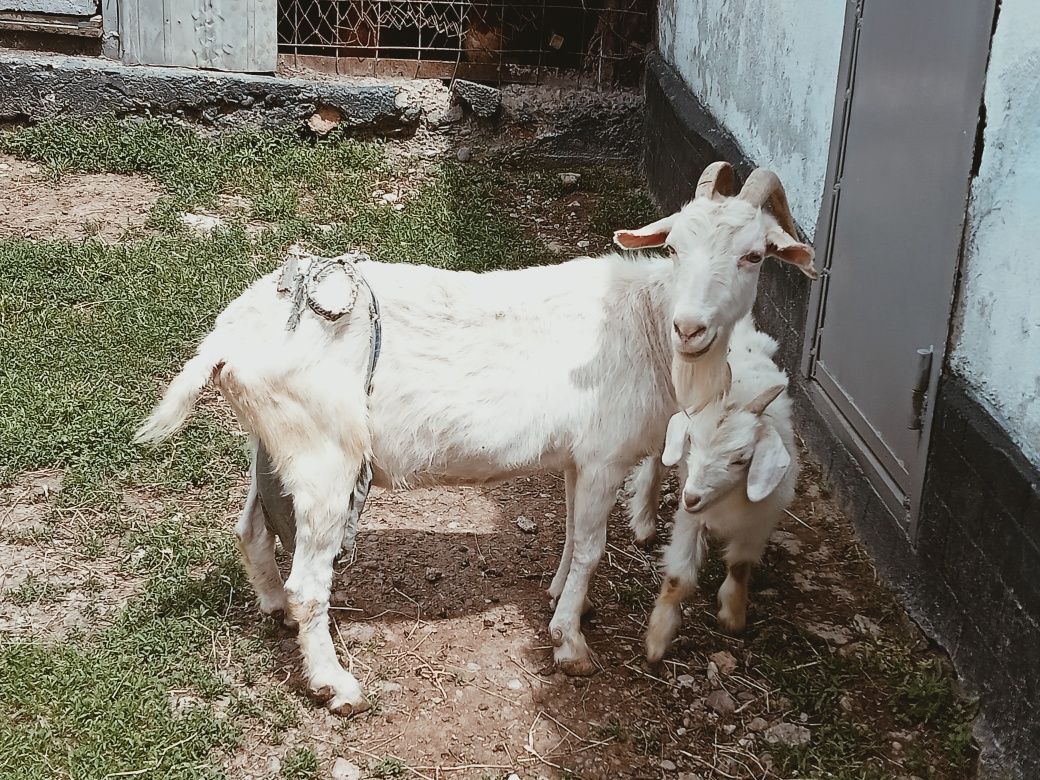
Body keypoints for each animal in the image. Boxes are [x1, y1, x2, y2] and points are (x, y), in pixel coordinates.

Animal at [644, 318, 798, 665]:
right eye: (691, 441)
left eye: (741, 459)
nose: (690, 497)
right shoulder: (689, 520)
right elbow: (679, 579)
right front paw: (657, 640)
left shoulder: (758, 522)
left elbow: (739, 566)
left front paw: (733, 615)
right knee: (656, 461)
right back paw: (644, 522)